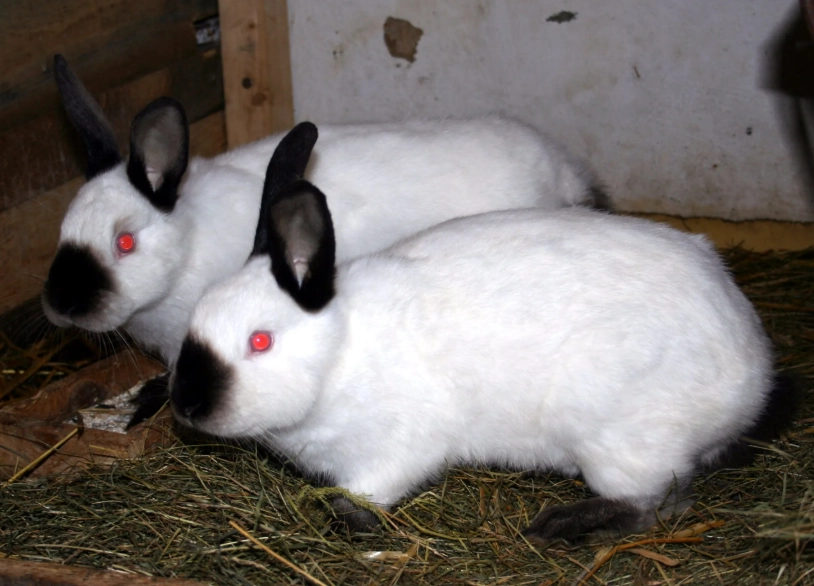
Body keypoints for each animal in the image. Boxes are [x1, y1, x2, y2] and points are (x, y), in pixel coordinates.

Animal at [168, 123, 794, 541]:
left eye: (260, 341)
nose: (187, 405)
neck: (338, 355)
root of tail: (754, 371)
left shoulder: (397, 447)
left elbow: (371, 491)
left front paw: (345, 519)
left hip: (622, 438)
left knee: (654, 503)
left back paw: (558, 525)